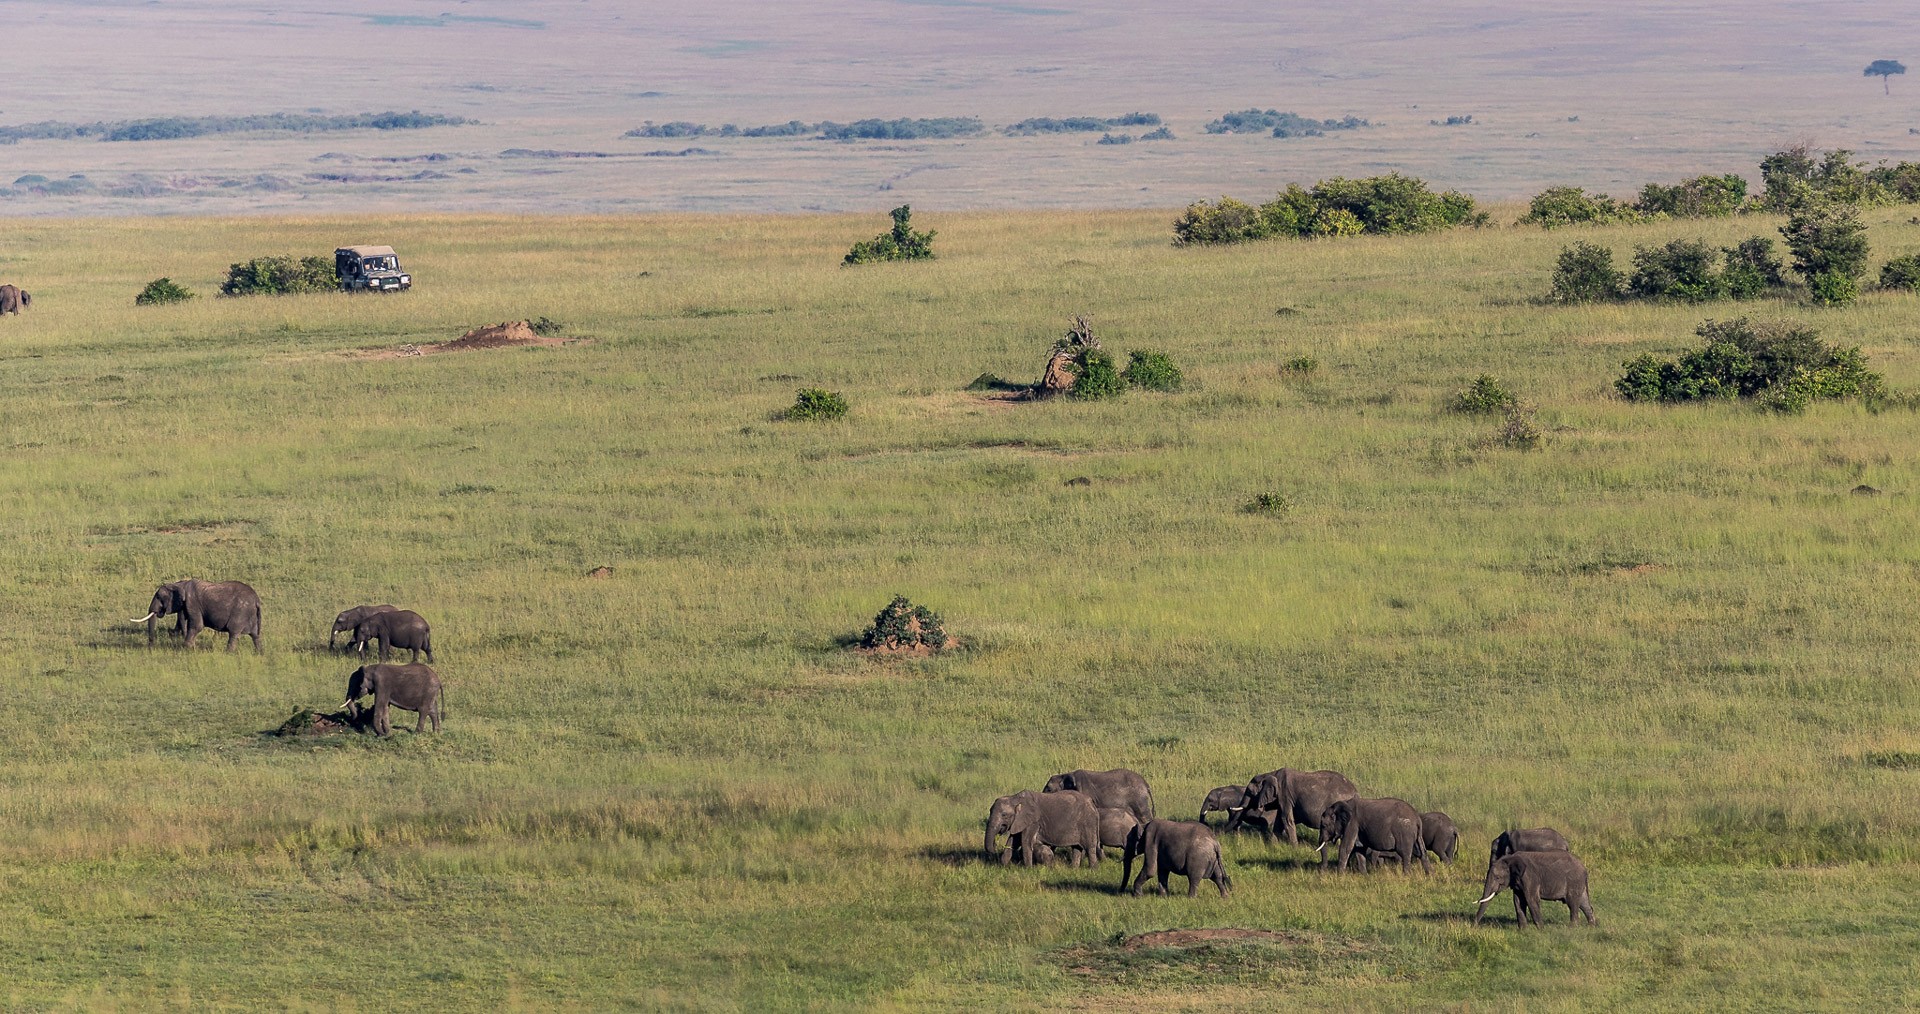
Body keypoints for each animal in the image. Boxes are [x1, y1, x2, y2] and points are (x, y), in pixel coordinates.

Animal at [129, 579, 259, 649]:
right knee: (255, 635)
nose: (151, 647)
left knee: (234, 632)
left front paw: (187, 647)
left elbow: (197, 625)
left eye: (159, 597)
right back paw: (259, 653)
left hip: (240, 612)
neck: (179, 584)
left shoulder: (192, 602)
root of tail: (257, 600)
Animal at [1221, 768, 1359, 848]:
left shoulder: (1285, 795)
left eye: (1249, 791)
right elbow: (1279, 821)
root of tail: (1355, 791)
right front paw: (1273, 846)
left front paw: (1295, 848)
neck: (1271, 774)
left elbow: (1286, 819)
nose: (1220, 835)